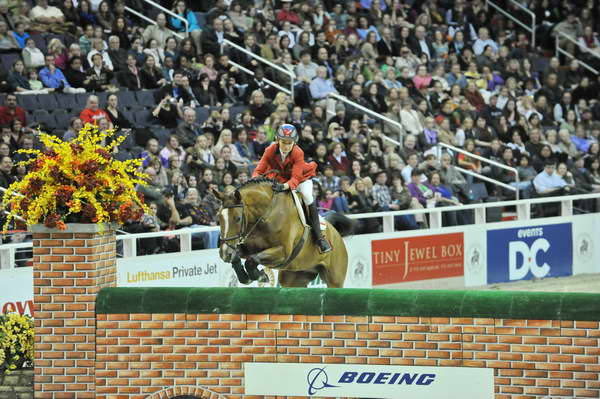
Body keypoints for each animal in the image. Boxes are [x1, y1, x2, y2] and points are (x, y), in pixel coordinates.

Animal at [213, 180, 354, 290]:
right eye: (218, 217)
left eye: (237, 218)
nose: (224, 253)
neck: (264, 215)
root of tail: (336, 234)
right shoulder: (246, 247)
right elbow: (238, 257)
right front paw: (247, 276)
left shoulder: (283, 252)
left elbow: (252, 260)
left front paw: (261, 276)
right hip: (294, 277)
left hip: (334, 279)